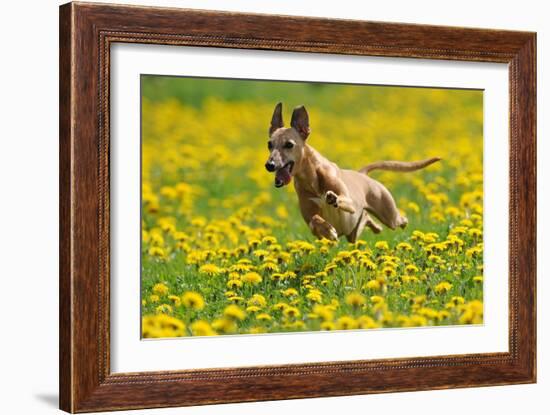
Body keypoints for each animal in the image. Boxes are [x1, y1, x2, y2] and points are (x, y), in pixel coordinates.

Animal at [266, 102, 442, 242]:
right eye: (269, 144)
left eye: (289, 144)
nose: (269, 165)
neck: (311, 179)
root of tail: (362, 174)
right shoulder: (310, 218)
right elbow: (315, 220)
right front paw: (328, 231)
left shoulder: (349, 202)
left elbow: (342, 200)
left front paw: (332, 199)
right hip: (354, 233)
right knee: (367, 220)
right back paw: (374, 226)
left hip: (390, 216)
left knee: (400, 219)